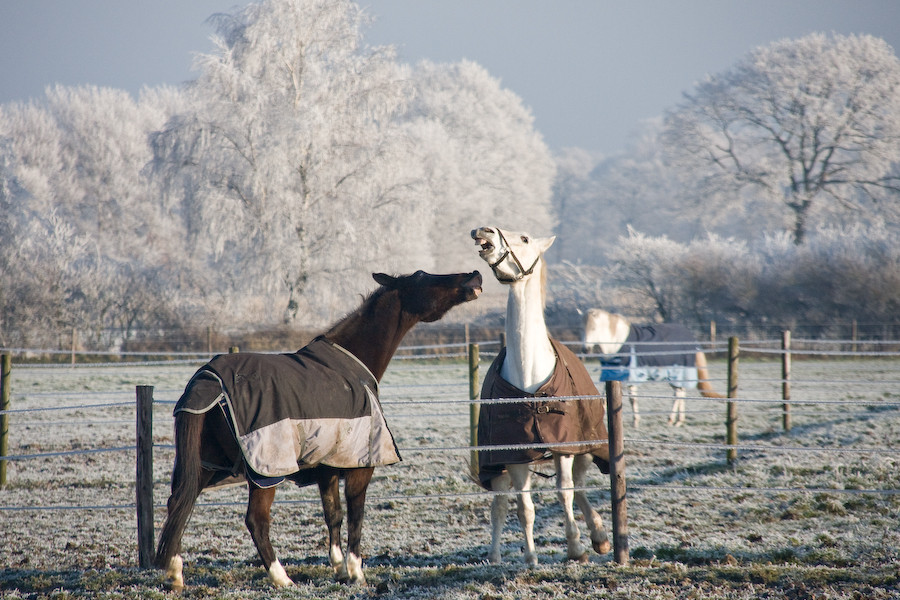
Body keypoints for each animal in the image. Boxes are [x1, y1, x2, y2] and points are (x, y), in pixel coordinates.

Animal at [155, 272, 482, 592]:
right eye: (422, 277)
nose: (474, 276)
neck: (351, 367)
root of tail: (207, 380)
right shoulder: (360, 466)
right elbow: (356, 515)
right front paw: (355, 572)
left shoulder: (328, 467)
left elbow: (333, 514)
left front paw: (339, 568)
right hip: (265, 472)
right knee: (255, 520)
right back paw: (281, 578)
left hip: (205, 466)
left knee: (178, 505)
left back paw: (175, 573)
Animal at [472, 226, 612, 568]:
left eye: (523, 238)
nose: (483, 231)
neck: (528, 372)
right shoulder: (515, 456)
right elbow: (524, 509)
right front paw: (531, 557)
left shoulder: (564, 448)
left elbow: (565, 492)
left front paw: (575, 548)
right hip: (499, 467)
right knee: (500, 504)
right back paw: (494, 555)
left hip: (584, 451)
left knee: (579, 487)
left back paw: (599, 537)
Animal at [584, 308, 724, 428]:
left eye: (593, 328)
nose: (586, 349)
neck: (618, 343)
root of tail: (691, 339)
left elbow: (632, 399)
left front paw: (635, 422)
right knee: (681, 393)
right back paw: (679, 420)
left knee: (678, 394)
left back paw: (672, 420)